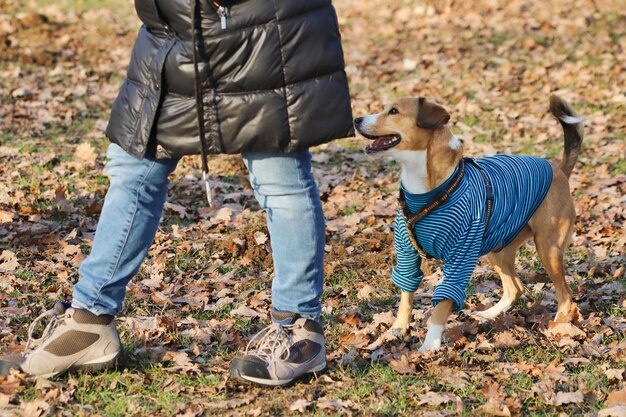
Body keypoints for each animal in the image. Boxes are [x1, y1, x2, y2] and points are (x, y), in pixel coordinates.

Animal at [354, 95, 584, 352]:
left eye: (393, 111)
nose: (356, 120)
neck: (428, 193)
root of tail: (558, 168)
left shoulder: (461, 255)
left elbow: (442, 304)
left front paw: (430, 344)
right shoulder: (407, 254)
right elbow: (406, 294)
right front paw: (398, 329)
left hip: (547, 249)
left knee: (565, 294)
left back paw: (560, 322)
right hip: (497, 249)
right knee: (516, 288)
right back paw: (489, 314)